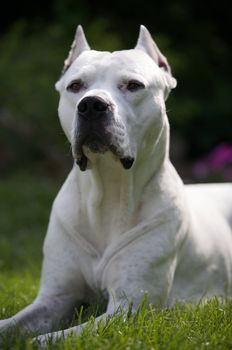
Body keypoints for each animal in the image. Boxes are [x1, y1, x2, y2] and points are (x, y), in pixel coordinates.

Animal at [0, 23, 232, 344]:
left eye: (133, 85)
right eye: (75, 86)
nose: (91, 105)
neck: (107, 191)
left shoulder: (128, 307)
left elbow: (52, 338)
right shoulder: (54, 298)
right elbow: (11, 324)